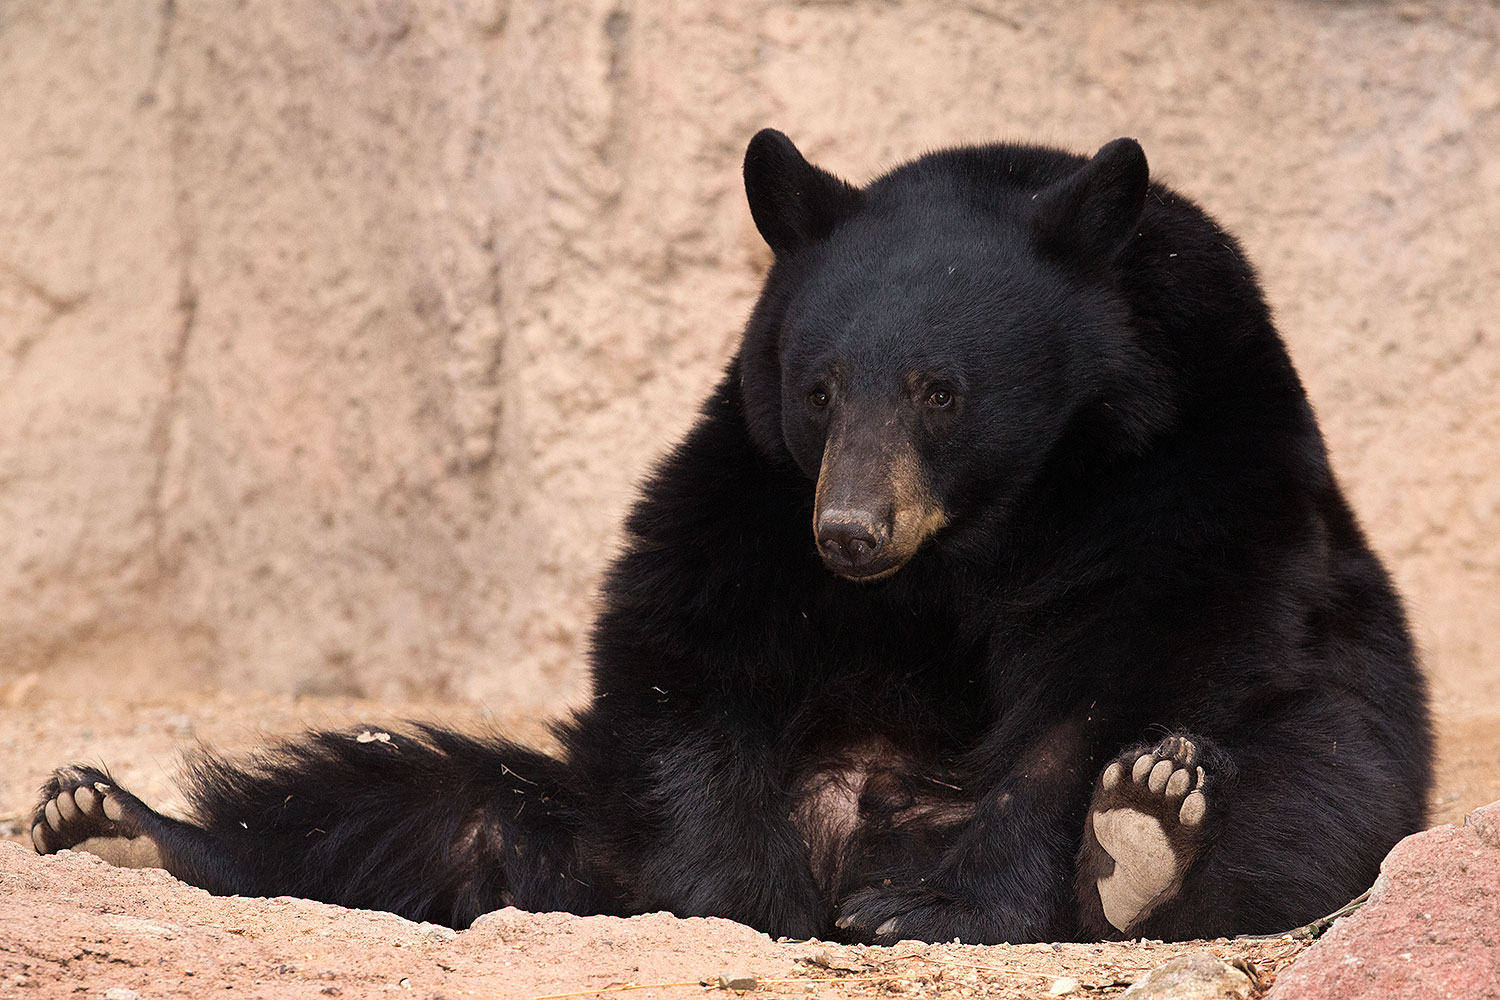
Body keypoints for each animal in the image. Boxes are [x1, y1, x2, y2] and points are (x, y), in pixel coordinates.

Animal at [31, 129, 1433, 944]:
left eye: (940, 391)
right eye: (821, 388)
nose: (853, 532)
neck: (987, 522)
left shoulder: (1194, 445)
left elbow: (1141, 651)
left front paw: (945, 900)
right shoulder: (752, 466)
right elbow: (690, 632)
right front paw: (737, 892)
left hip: (1347, 757)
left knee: (1301, 809)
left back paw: (1142, 836)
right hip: (582, 795)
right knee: (397, 804)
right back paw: (115, 824)